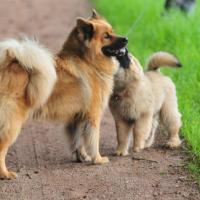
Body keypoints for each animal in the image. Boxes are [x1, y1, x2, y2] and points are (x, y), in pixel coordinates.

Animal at [0, 10, 128, 179]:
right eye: (106, 36)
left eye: (113, 31)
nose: (126, 39)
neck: (88, 61)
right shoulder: (93, 116)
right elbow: (93, 140)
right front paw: (98, 159)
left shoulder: (78, 117)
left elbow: (78, 140)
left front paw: (83, 157)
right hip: (13, 123)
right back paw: (5, 173)